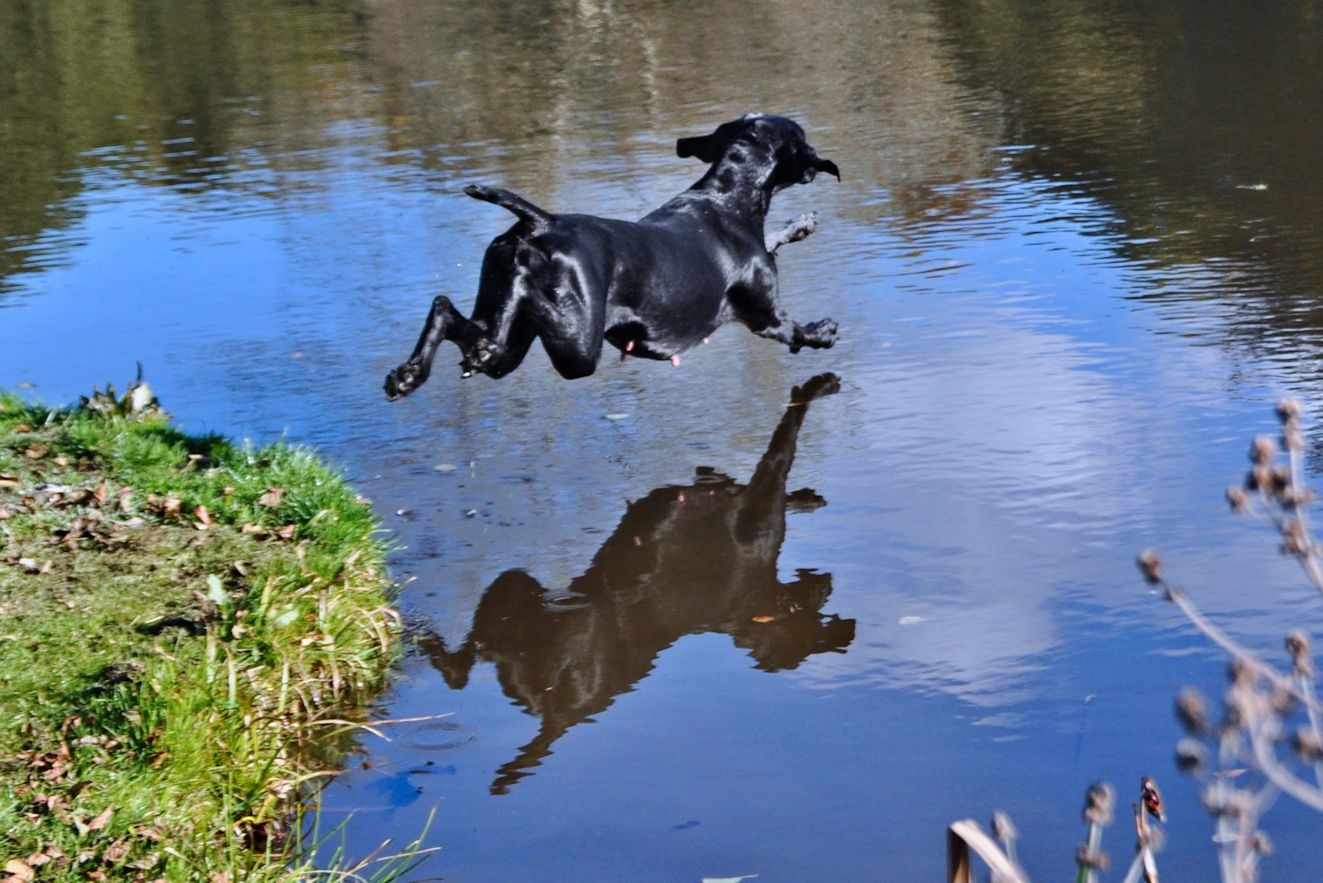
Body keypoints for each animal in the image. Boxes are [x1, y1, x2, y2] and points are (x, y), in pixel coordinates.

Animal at [386, 112, 836, 399]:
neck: (727, 197)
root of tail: (542, 222)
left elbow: (774, 238)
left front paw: (800, 224)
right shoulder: (767, 320)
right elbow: (797, 333)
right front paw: (823, 332)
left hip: (512, 334)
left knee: (448, 310)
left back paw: (411, 374)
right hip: (578, 344)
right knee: (507, 317)